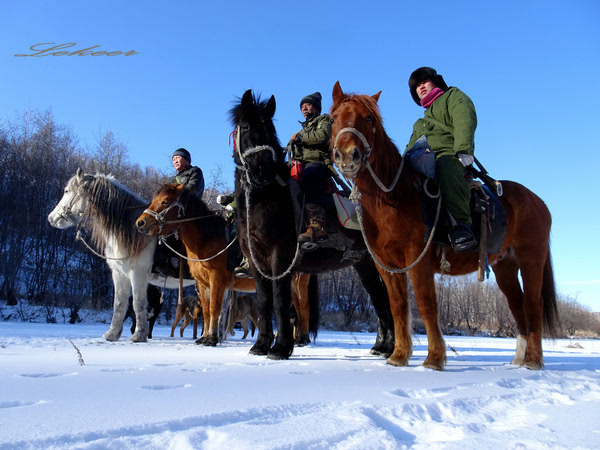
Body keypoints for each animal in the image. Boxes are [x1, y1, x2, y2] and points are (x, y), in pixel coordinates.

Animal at [48, 169, 158, 342]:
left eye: (66, 191)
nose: (51, 218)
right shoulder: (120, 274)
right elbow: (118, 304)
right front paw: (112, 334)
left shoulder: (138, 274)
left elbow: (138, 304)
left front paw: (139, 335)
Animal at [136, 185, 314, 346]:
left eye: (165, 201)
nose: (140, 222)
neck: (207, 239)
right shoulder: (202, 283)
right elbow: (207, 310)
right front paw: (204, 337)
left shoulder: (217, 279)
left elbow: (214, 307)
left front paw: (211, 339)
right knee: (296, 311)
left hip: (298, 283)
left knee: (304, 309)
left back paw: (302, 339)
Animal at [230, 89, 394, 360]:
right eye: (245, 126)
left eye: (269, 128)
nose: (263, 170)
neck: (266, 200)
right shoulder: (256, 262)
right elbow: (264, 302)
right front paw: (261, 345)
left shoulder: (281, 259)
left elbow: (280, 301)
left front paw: (281, 348)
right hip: (365, 265)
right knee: (380, 299)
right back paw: (382, 346)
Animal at [330, 81, 560, 370]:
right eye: (333, 119)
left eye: (369, 118)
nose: (347, 155)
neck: (395, 196)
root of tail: (538, 202)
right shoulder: (388, 266)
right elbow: (398, 307)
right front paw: (399, 356)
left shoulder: (417, 260)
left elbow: (426, 304)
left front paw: (434, 358)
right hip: (504, 266)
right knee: (517, 305)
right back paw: (518, 358)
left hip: (531, 260)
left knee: (533, 305)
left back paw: (532, 360)